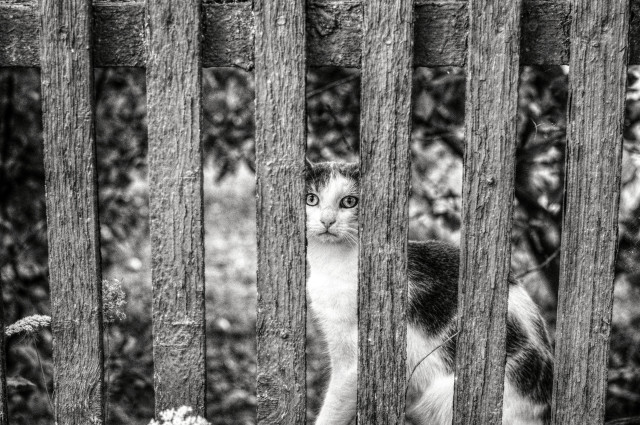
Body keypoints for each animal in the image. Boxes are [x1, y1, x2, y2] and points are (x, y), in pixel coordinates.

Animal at [308, 161, 552, 424]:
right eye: (312, 199)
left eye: (349, 202)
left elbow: (334, 406)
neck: (330, 263)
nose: (327, 220)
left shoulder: (355, 360)